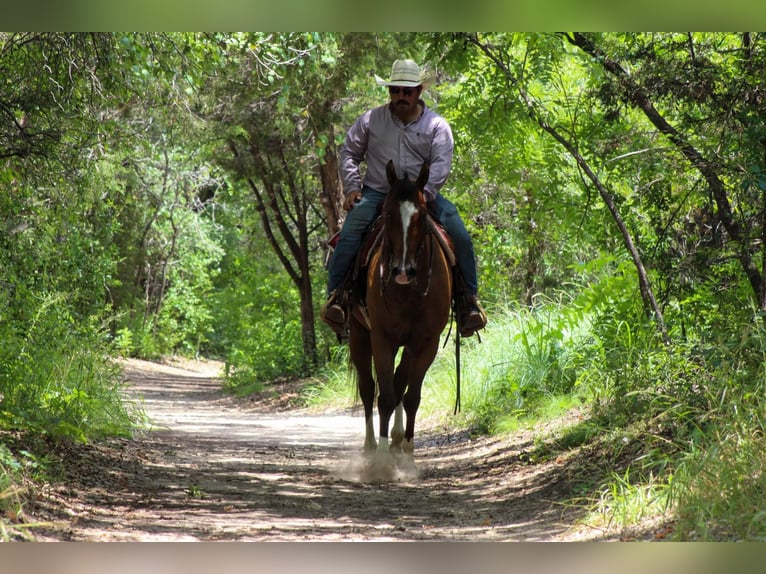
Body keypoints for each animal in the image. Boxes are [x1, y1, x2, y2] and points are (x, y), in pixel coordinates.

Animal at [348, 160, 453, 463]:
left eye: (422, 215)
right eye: (388, 213)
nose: (402, 271)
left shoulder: (426, 342)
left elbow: (411, 395)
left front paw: (406, 451)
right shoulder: (381, 338)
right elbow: (383, 396)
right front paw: (382, 459)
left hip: (407, 344)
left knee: (399, 383)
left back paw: (395, 440)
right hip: (358, 335)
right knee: (368, 388)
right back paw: (372, 445)